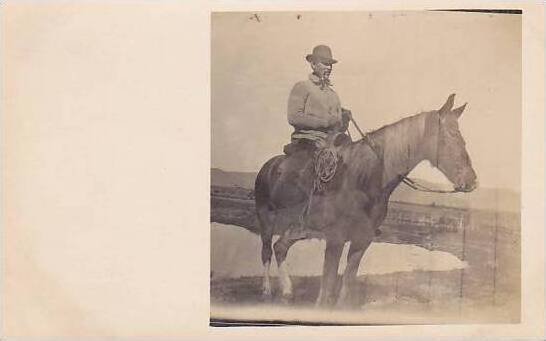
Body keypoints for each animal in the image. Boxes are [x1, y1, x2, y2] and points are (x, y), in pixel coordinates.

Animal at [253, 93, 474, 306]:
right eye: (451, 136)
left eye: (463, 139)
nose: (472, 181)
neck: (362, 178)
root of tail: (269, 165)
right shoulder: (335, 239)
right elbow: (326, 292)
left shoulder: (362, 240)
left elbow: (346, 288)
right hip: (266, 218)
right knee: (266, 251)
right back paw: (266, 290)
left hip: (299, 227)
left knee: (280, 247)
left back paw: (287, 290)